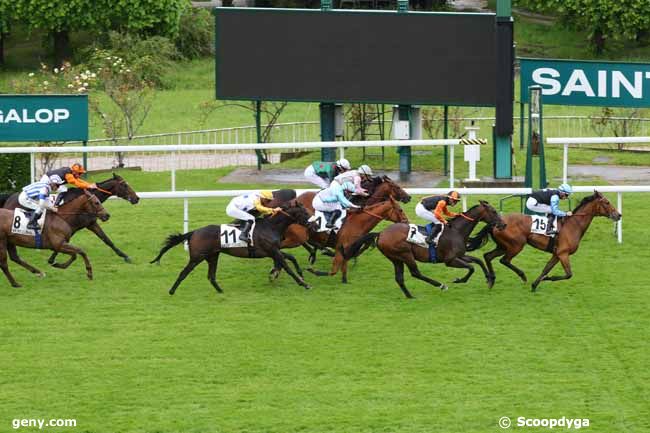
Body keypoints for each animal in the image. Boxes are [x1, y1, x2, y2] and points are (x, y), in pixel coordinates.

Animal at [0, 173, 139, 264]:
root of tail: (9, 197)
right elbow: (63, 241)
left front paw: (125, 256)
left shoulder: (91, 223)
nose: (137, 198)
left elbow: (107, 240)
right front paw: (53, 258)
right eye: (124, 185)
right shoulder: (73, 226)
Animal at [152, 201, 314, 296]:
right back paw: (172, 291)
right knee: (184, 272)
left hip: (213, 256)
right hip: (197, 257)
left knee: (211, 276)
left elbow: (290, 258)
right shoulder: (272, 251)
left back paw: (221, 291)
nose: (313, 224)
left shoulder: (272, 251)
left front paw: (299, 274)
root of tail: (194, 232)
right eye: (305, 212)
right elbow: (287, 266)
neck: (271, 226)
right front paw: (303, 283)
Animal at [342, 201, 504, 298]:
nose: (503, 225)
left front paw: (489, 279)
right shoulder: (450, 260)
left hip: (395, 258)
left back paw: (409, 296)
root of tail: (381, 233)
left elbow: (477, 261)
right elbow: (471, 268)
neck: (456, 231)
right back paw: (440, 285)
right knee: (415, 273)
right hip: (405, 254)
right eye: (493, 211)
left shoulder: (460, 255)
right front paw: (459, 280)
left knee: (399, 278)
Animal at [464, 191, 620, 292]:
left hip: (503, 245)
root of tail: (496, 222)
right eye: (606, 202)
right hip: (516, 245)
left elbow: (546, 268)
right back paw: (521, 275)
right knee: (504, 260)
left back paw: (491, 280)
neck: (573, 224)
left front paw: (536, 284)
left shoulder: (557, 254)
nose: (618, 215)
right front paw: (547, 279)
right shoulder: (563, 253)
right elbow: (568, 274)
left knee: (488, 256)